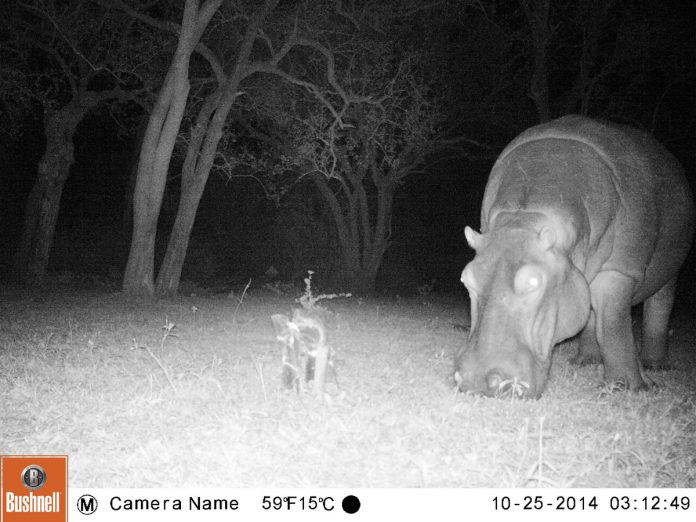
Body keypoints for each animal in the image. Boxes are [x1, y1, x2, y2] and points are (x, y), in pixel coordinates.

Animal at [454, 115, 694, 398]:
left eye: (534, 281)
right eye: (466, 279)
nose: (475, 380)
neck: (524, 219)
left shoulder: (618, 271)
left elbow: (614, 326)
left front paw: (630, 387)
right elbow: (600, 320)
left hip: (670, 271)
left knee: (659, 307)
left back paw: (656, 365)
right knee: (590, 313)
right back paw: (586, 361)